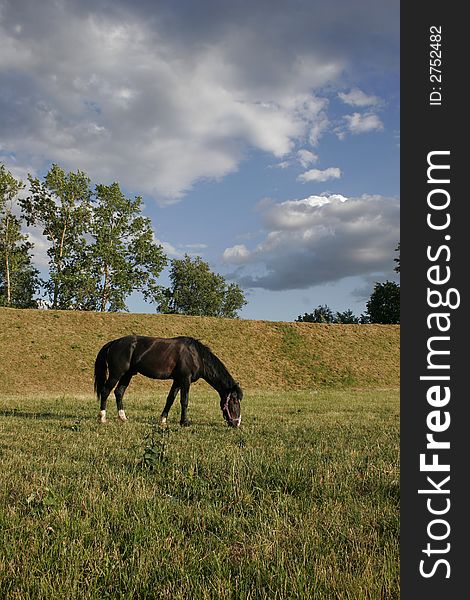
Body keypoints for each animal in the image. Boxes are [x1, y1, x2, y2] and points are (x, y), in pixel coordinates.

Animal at [94, 332, 244, 426]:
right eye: (234, 401)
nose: (237, 423)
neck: (196, 355)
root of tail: (114, 343)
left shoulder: (177, 381)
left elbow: (170, 400)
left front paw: (163, 420)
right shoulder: (185, 380)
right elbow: (184, 401)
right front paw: (184, 422)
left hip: (127, 375)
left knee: (119, 392)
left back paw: (123, 417)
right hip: (116, 374)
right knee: (105, 391)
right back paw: (102, 418)